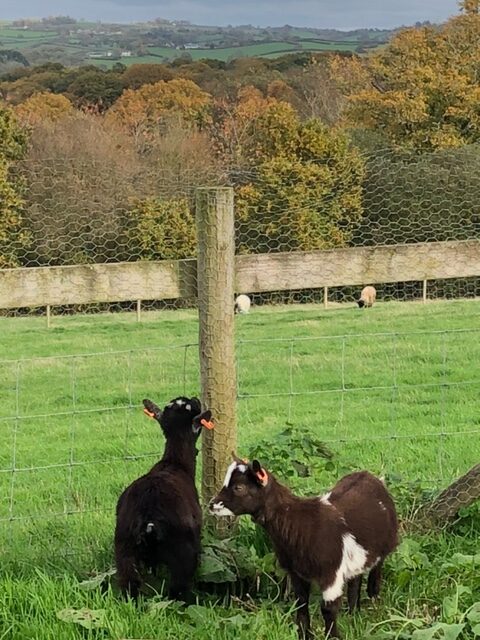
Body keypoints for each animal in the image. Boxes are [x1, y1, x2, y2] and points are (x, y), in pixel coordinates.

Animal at [114, 396, 213, 602]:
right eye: (192, 406)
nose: (195, 398)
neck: (174, 463)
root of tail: (149, 517)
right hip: (183, 550)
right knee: (177, 590)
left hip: (124, 548)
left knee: (130, 585)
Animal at [210, 457, 398, 639]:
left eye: (238, 487)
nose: (212, 505)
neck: (300, 523)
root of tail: (370, 476)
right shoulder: (296, 571)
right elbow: (301, 605)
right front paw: (305, 635)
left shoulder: (331, 571)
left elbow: (328, 609)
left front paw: (333, 637)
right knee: (355, 581)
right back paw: (354, 615)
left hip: (384, 547)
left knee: (375, 576)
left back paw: (373, 604)